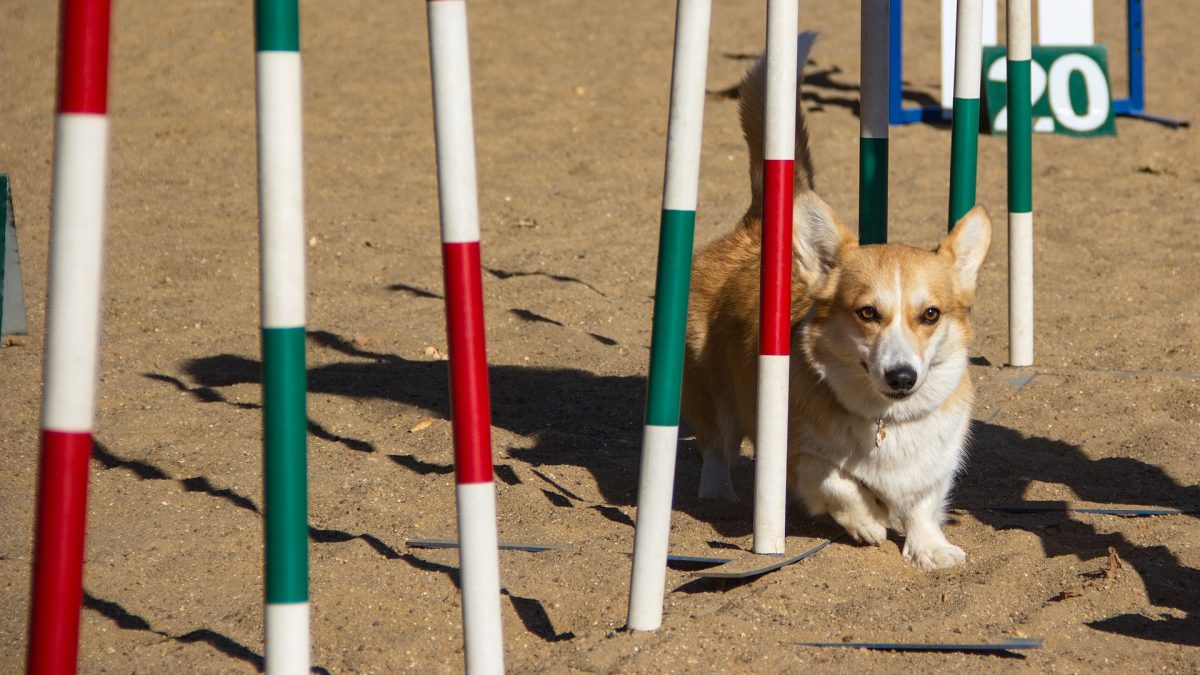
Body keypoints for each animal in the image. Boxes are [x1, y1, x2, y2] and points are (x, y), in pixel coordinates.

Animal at [681, 36, 988, 566]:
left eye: (929, 314)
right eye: (867, 313)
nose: (902, 377)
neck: (886, 420)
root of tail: (755, 227)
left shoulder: (935, 464)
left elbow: (924, 503)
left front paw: (931, 550)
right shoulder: (799, 456)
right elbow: (839, 483)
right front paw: (867, 522)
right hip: (712, 389)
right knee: (717, 447)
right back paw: (719, 495)